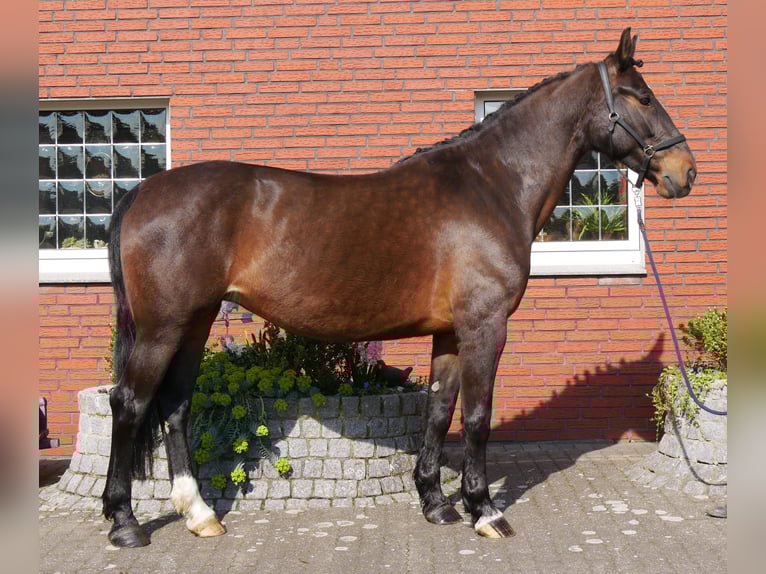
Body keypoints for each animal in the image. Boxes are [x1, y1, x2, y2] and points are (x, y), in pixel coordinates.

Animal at [102, 28, 696, 547]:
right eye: (643, 97)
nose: (684, 172)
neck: (491, 185)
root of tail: (142, 191)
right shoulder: (485, 327)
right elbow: (477, 417)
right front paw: (485, 511)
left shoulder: (452, 333)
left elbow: (439, 409)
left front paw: (436, 502)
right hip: (163, 327)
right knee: (130, 403)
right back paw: (124, 522)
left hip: (195, 321)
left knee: (175, 405)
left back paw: (199, 513)